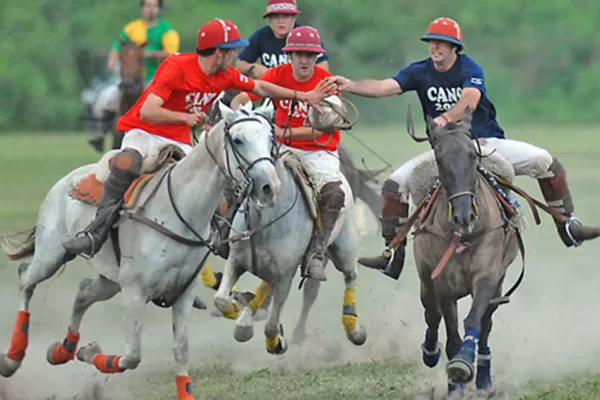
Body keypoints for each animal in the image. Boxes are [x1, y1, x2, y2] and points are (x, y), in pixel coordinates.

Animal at [0, 102, 282, 400]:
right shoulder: (135, 292)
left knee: (83, 292)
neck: (183, 210)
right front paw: (91, 351)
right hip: (51, 254)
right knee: (26, 279)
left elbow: (181, 350)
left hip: (110, 279)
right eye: (238, 140)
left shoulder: (183, 293)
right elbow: (132, 356)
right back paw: (12, 359)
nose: (270, 187)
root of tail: (66, 179)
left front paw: (86, 350)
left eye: (270, 139)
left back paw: (61, 351)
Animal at [213, 109, 368, 354]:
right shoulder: (236, 260)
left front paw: (278, 341)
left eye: (270, 139)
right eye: (236, 140)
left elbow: (271, 327)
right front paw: (241, 312)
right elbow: (221, 299)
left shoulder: (285, 273)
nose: (268, 187)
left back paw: (354, 328)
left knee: (351, 274)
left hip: (344, 246)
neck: (264, 221)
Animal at [404, 108, 524, 396]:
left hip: (498, 284)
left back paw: (483, 377)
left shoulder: (487, 276)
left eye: (473, 154)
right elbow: (449, 329)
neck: (464, 236)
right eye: (439, 157)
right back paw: (430, 352)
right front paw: (455, 383)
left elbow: (474, 320)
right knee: (431, 314)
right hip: (426, 281)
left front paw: (464, 363)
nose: (463, 216)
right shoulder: (443, 284)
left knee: (486, 322)